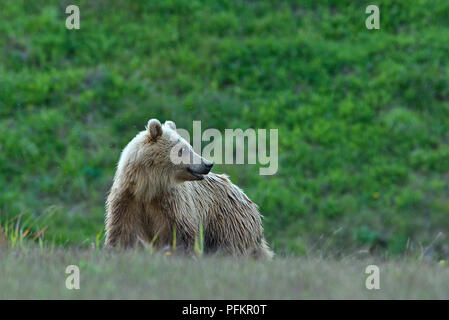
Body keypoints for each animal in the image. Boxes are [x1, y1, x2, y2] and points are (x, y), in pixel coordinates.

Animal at [105, 119, 272, 258]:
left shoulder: (173, 204)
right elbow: (122, 234)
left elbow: (181, 235)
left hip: (228, 223)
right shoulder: (128, 200)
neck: (148, 188)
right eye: (182, 150)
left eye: (189, 147)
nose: (207, 164)